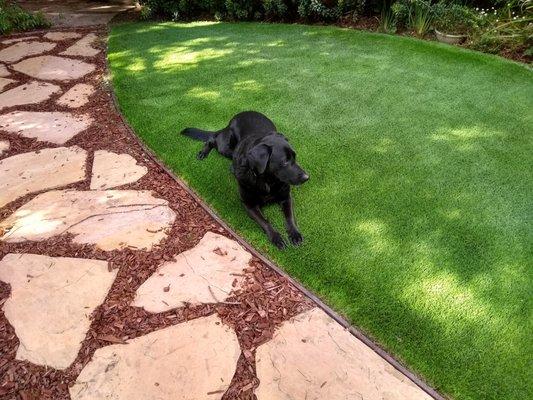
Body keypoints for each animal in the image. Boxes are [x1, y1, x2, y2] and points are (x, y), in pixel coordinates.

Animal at [182, 111, 308, 248]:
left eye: (295, 157)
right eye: (285, 162)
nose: (307, 177)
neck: (267, 181)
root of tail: (238, 115)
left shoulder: (286, 197)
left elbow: (290, 217)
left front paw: (295, 233)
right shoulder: (250, 205)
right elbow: (265, 221)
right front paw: (276, 237)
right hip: (225, 147)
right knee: (212, 139)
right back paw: (204, 152)